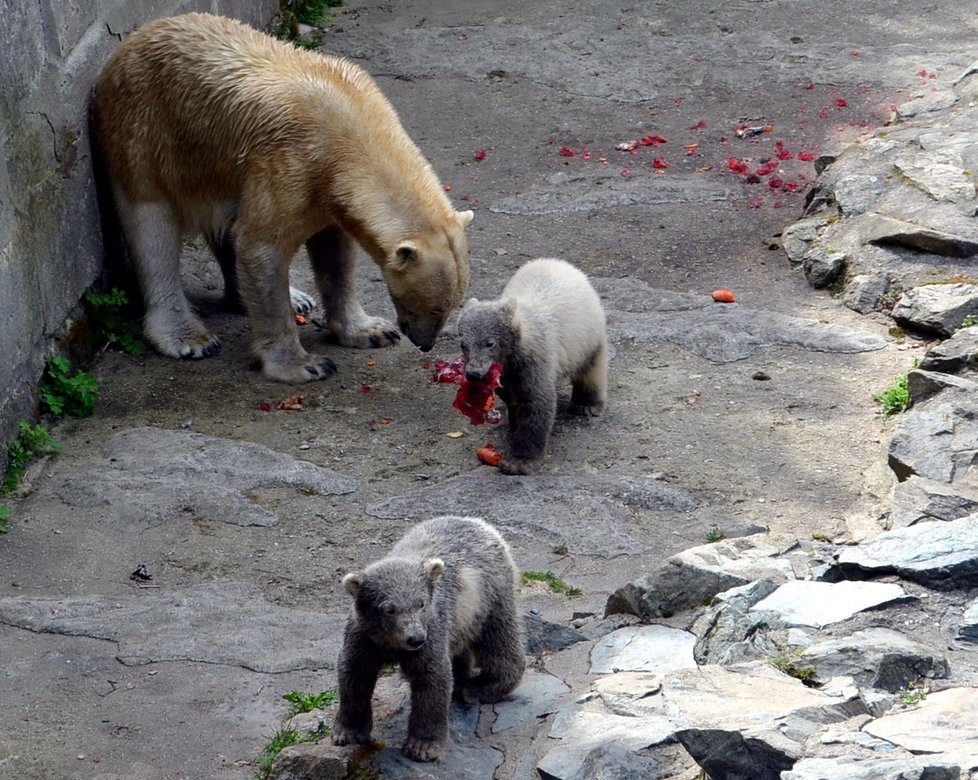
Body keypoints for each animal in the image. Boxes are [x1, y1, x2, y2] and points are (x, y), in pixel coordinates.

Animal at [91, 12, 472, 384]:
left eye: (453, 305)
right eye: (433, 306)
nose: (425, 343)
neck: (351, 124)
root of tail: (133, 40)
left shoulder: (325, 188)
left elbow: (335, 253)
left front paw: (371, 330)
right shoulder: (291, 162)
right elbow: (262, 247)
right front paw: (304, 365)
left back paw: (294, 298)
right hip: (144, 132)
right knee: (152, 227)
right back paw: (188, 337)